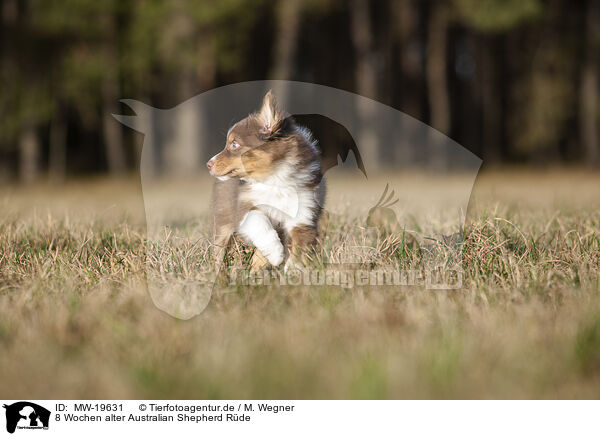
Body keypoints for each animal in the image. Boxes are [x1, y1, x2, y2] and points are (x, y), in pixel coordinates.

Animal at [205, 90, 324, 270]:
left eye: (234, 144)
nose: (208, 164)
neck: (274, 178)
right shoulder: (242, 205)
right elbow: (258, 219)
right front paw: (275, 253)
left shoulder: (303, 213)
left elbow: (299, 249)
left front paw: (292, 271)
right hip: (222, 217)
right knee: (219, 248)